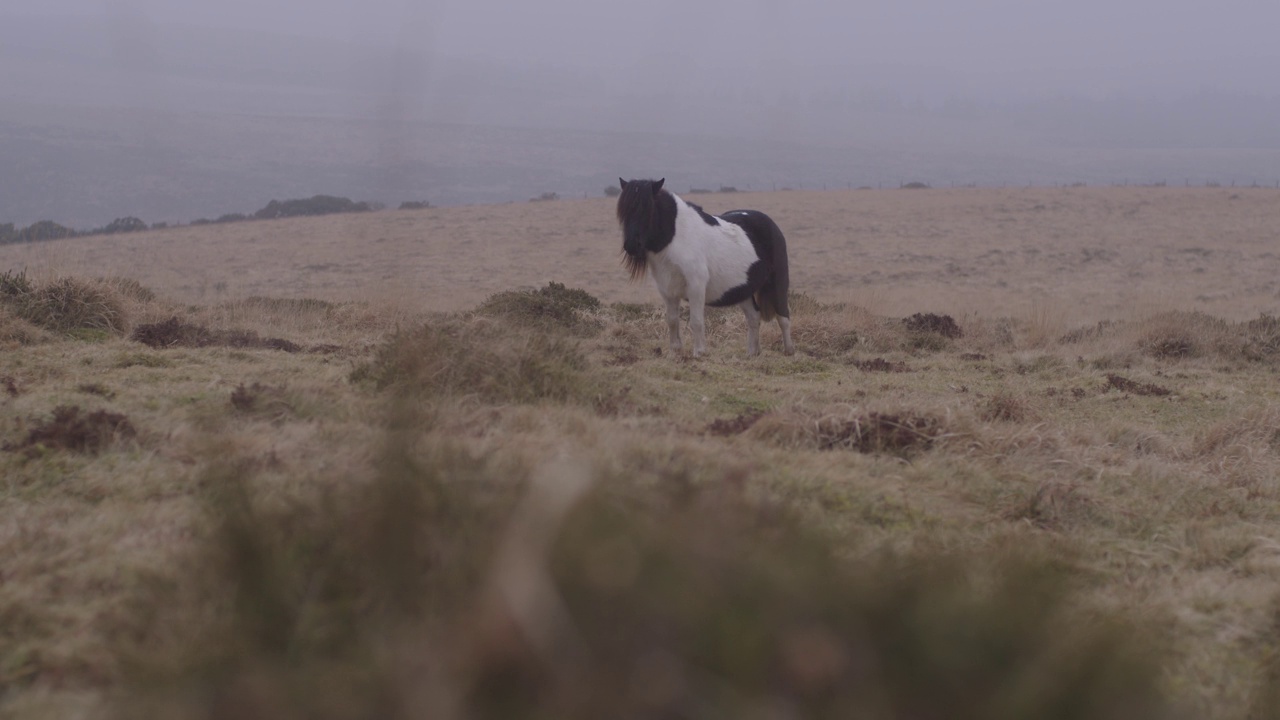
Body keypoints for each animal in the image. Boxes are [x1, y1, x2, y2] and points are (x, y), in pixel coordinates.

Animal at [616, 176, 788, 356]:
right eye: (623, 212)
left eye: (647, 210)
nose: (631, 245)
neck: (676, 237)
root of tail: (771, 224)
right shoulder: (668, 290)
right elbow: (672, 320)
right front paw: (675, 352)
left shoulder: (696, 287)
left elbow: (696, 321)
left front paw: (699, 353)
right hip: (743, 290)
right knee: (754, 317)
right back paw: (751, 354)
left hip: (778, 282)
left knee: (783, 317)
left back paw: (789, 350)